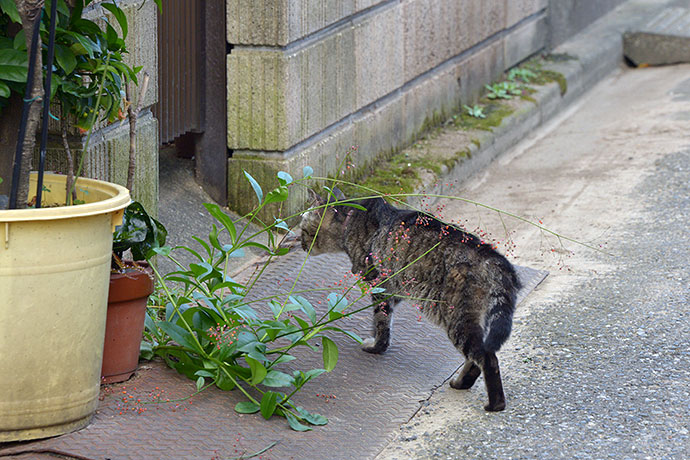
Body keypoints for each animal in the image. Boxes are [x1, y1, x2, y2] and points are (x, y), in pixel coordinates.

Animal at [298, 189, 520, 412]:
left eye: (302, 229)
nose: (300, 244)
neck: (351, 221)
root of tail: (494, 259)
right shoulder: (394, 291)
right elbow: (382, 321)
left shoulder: (380, 286)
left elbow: (381, 321)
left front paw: (376, 346)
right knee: (479, 355)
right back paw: (462, 383)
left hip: (457, 318)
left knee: (487, 358)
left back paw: (495, 403)